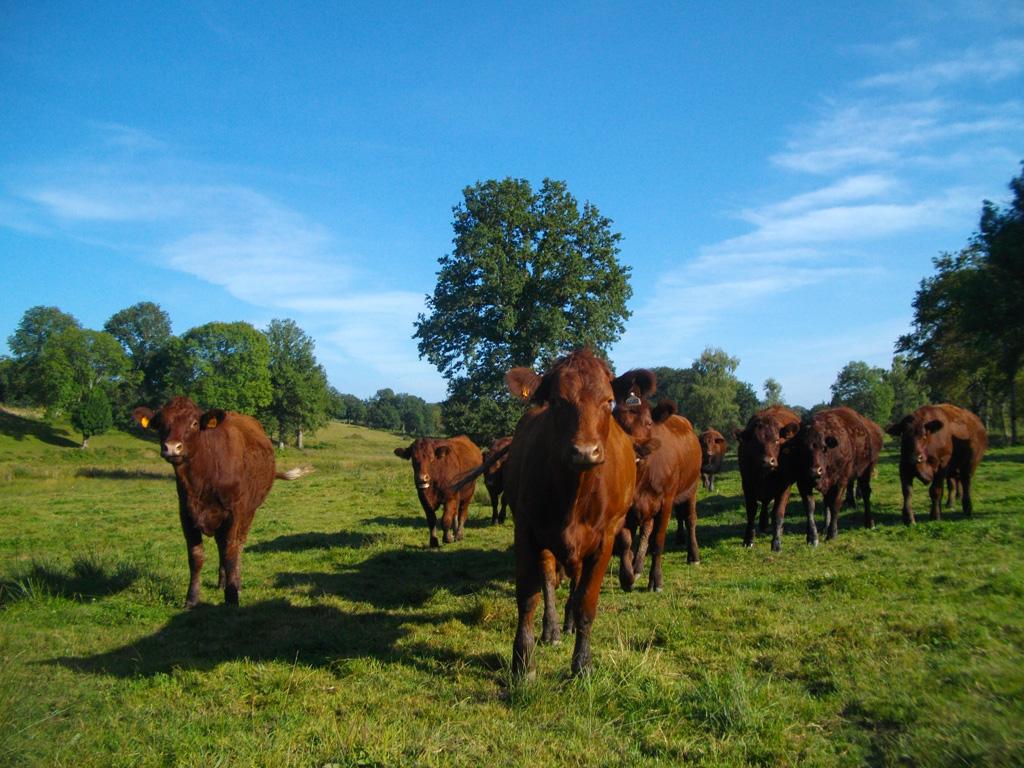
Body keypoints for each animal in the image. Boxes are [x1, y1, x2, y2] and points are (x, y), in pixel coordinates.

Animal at [132, 397, 309, 606]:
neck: (201, 482)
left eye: (194, 423)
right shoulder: (186, 514)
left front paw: (232, 596)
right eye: (161, 424)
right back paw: (222, 582)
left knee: (238, 544)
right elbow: (196, 556)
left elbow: (230, 552)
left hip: (249, 511)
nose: (172, 447)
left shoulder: (233, 513)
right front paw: (191, 599)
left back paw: (235, 582)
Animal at [501, 350, 634, 679]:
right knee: (549, 578)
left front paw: (582, 664)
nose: (585, 451)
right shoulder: (527, 528)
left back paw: (570, 623)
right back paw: (552, 629)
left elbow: (587, 601)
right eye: (558, 401)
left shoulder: (605, 539)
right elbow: (529, 596)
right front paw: (524, 662)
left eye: (608, 402)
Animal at [606, 370, 704, 593]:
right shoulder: (628, 505)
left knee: (690, 520)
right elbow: (625, 541)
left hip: (691, 489)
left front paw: (656, 580)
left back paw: (693, 556)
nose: (635, 448)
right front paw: (627, 577)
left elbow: (658, 541)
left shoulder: (665, 502)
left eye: (648, 423)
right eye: (617, 421)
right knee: (645, 530)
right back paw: (637, 567)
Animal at [733, 405, 802, 548]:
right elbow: (751, 511)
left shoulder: (784, 486)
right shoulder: (747, 485)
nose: (767, 461)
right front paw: (748, 539)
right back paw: (763, 523)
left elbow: (778, 513)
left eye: (777, 440)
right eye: (754, 442)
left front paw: (776, 542)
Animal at [790, 405, 880, 544]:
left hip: (866, 471)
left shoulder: (840, 482)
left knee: (866, 493)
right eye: (803, 448)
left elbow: (835, 505)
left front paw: (832, 533)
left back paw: (869, 522)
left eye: (823, 448)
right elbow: (810, 507)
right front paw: (812, 537)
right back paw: (825, 528)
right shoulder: (803, 483)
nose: (815, 471)